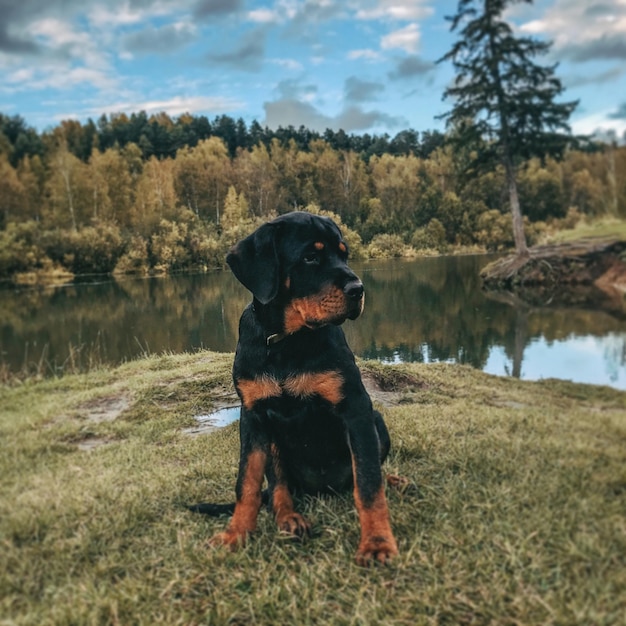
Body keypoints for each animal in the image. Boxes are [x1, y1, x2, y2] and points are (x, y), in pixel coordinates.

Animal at [188, 211, 398, 564]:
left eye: (344, 254)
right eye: (310, 257)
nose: (358, 290)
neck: (287, 342)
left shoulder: (355, 409)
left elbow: (369, 482)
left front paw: (377, 542)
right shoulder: (253, 417)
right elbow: (246, 482)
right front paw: (234, 535)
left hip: (376, 421)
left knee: (365, 472)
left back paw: (395, 480)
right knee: (277, 487)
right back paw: (289, 518)